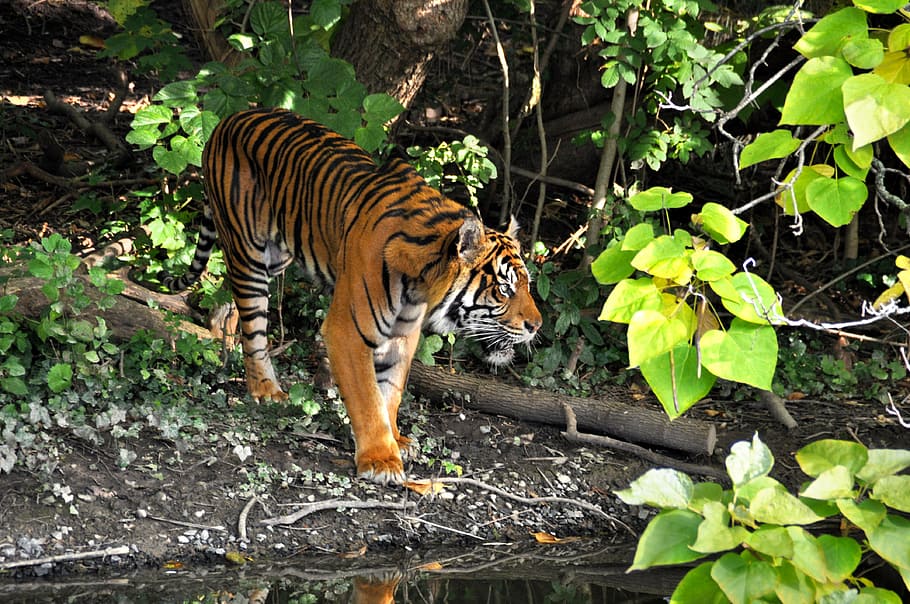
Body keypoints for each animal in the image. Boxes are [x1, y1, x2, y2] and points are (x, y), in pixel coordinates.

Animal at [163, 107, 542, 484]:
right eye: (504, 289)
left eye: (525, 285)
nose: (536, 326)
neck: (420, 286)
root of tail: (229, 118)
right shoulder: (348, 331)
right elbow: (367, 398)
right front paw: (381, 460)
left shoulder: (403, 335)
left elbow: (390, 391)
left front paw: (396, 440)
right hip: (250, 253)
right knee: (254, 326)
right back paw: (265, 389)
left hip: (275, 256)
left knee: (232, 297)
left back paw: (222, 327)